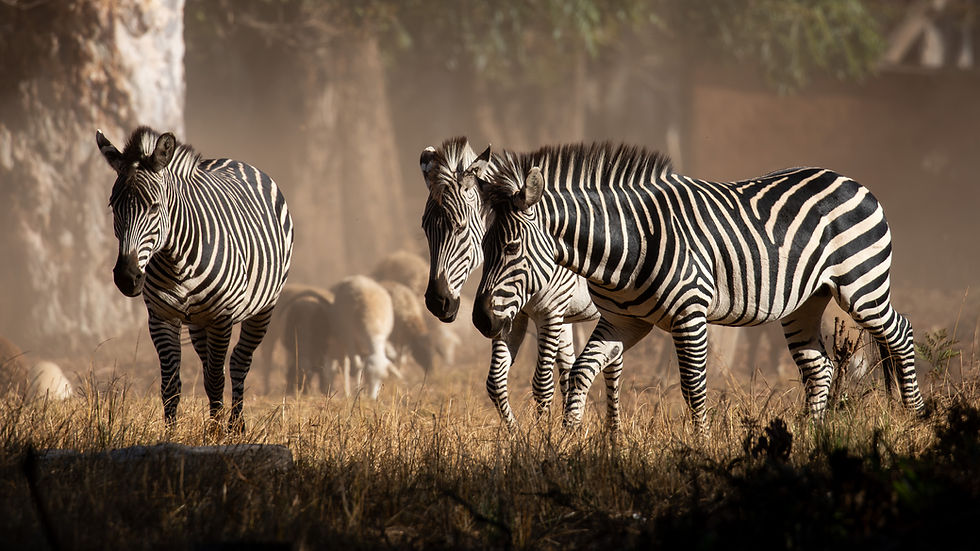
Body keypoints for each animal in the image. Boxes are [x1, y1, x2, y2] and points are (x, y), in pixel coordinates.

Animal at [97, 126, 294, 430]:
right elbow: (171, 385)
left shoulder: (222, 316)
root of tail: (234, 160)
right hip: (198, 322)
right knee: (209, 363)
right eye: (112, 205)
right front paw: (172, 433)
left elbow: (215, 380)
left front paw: (216, 434)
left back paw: (235, 425)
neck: (176, 259)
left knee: (239, 362)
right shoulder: (162, 317)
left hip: (264, 308)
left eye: (154, 207)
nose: (127, 278)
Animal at [419, 137, 608, 429]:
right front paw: (517, 433)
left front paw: (542, 436)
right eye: (425, 229)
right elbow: (496, 382)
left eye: (460, 227)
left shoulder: (549, 313)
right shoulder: (507, 313)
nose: (437, 302)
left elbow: (542, 384)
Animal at [472, 143, 925, 436]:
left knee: (901, 333)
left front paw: (701, 448)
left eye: (511, 248)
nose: (480, 320)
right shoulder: (623, 322)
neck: (628, 242)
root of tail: (849, 180)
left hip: (862, 285)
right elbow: (581, 371)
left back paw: (917, 419)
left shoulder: (688, 315)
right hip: (805, 303)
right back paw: (810, 438)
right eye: (483, 247)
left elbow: (693, 386)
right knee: (822, 368)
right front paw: (565, 443)